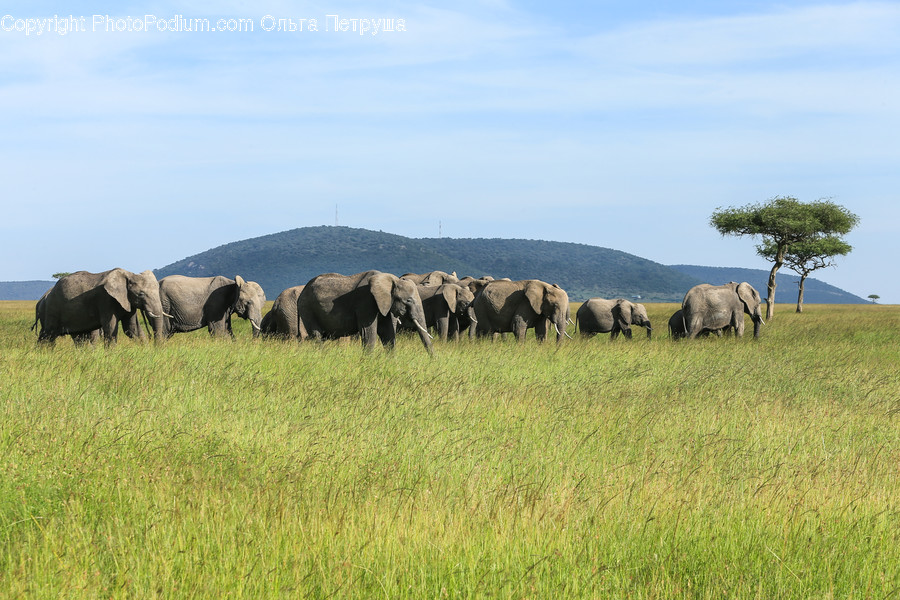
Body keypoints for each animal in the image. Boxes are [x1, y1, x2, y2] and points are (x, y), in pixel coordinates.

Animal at [35, 268, 165, 346]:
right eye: (141, 294)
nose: (157, 348)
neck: (129, 274)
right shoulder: (106, 300)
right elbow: (110, 328)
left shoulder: (128, 302)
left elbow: (132, 329)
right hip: (52, 308)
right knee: (48, 335)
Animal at [297, 270, 433, 353]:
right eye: (409, 300)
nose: (433, 360)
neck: (391, 280)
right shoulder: (366, 302)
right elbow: (368, 332)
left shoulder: (385, 304)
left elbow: (388, 333)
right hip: (307, 309)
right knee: (317, 336)